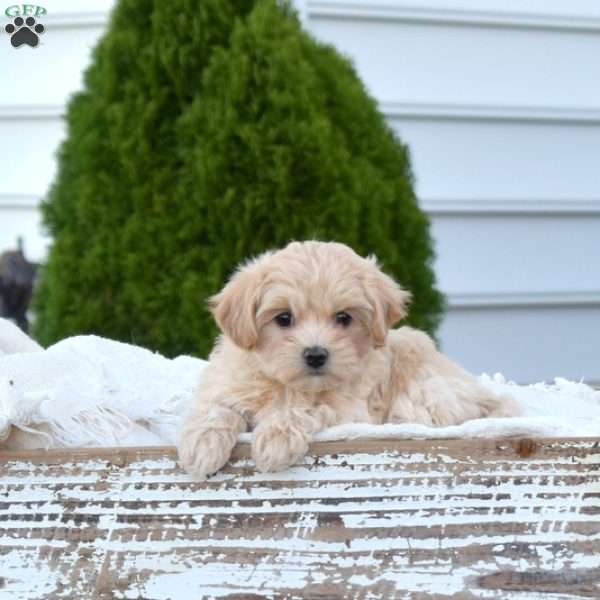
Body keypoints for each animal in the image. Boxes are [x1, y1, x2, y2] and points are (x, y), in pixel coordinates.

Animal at [177, 239, 516, 478]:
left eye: (343, 317)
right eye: (283, 318)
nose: (315, 355)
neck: (285, 384)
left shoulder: (349, 408)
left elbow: (305, 408)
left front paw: (276, 437)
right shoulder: (228, 383)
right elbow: (217, 408)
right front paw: (202, 445)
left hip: (424, 394)